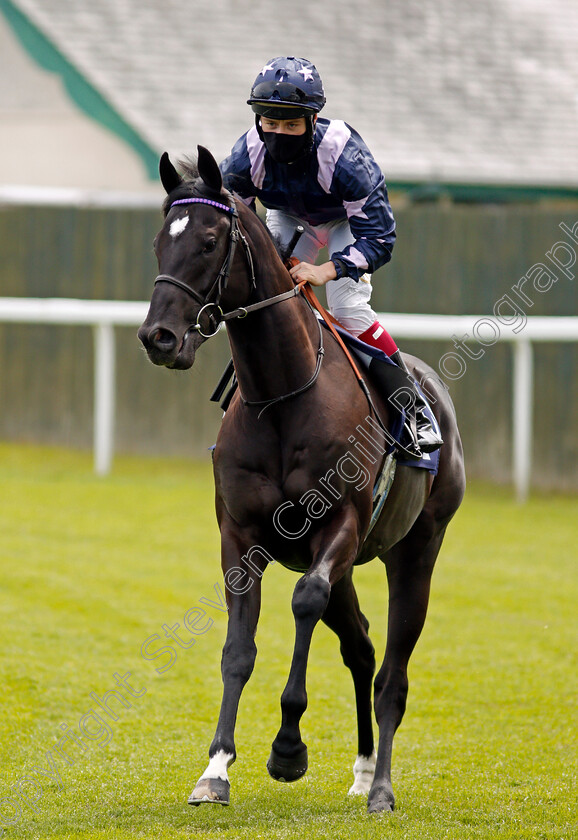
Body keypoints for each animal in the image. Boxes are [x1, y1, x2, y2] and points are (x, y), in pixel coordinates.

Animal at [136, 146, 464, 812]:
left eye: (209, 241)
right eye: (160, 241)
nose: (159, 337)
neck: (282, 395)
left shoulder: (337, 526)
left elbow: (304, 602)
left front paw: (288, 748)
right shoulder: (241, 537)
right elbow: (238, 649)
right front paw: (215, 768)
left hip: (416, 550)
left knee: (392, 670)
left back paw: (381, 787)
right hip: (351, 564)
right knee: (361, 645)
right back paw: (363, 769)